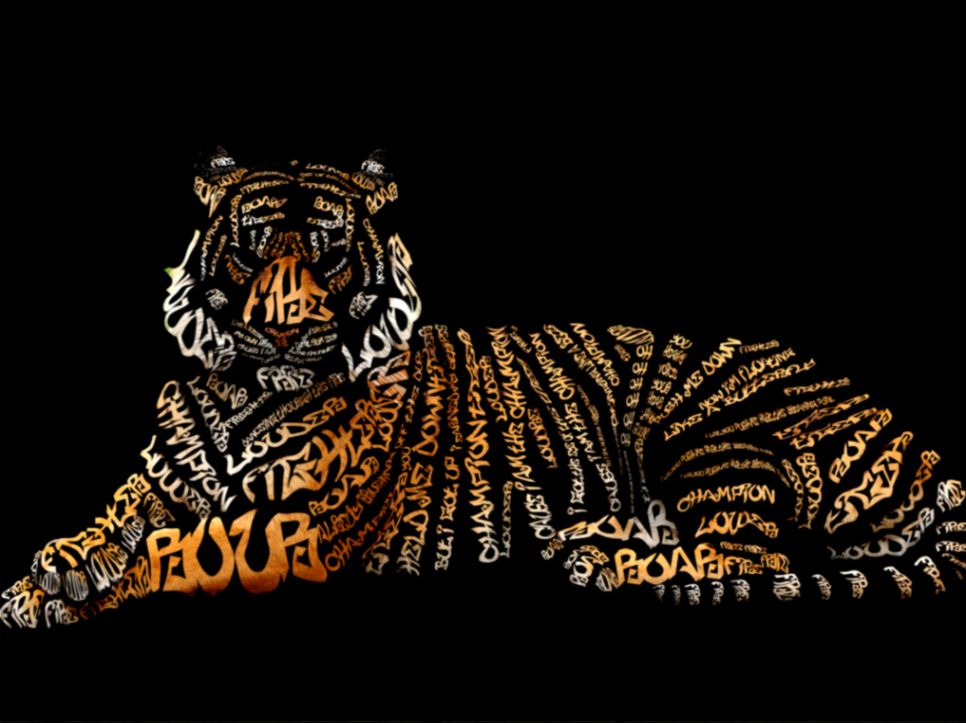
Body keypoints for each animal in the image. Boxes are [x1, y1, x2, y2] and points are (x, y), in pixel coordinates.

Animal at [2, 147, 963, 630]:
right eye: (249, 244)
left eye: (328, 252)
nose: (278, 327)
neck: (244, 387)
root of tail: (920, 443)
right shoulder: (160, 477)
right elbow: (122, 515)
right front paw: (49, 571)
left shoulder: (302, 523)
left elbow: (186, 547)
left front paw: (68, 588)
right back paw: (589, 533)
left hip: (712, 436)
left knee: (749, 554)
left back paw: (601, 561)